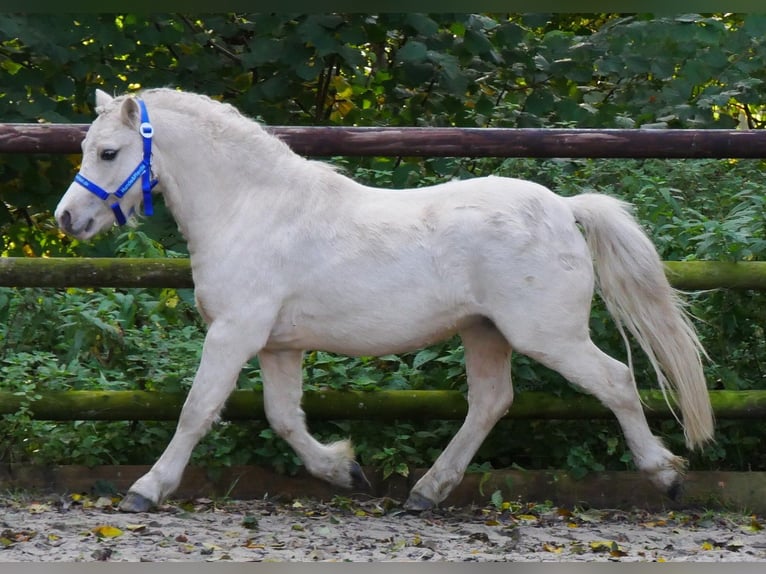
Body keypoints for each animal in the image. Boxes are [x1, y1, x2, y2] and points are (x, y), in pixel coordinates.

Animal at [57, 89, 716, 512]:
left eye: (109, 152)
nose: (67, 218)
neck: (253, 206)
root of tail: (564, 207)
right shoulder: (275, 344)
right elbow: (283, 417)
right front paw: (346, 471)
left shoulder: (234, 333)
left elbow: (197, 411)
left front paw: (146, 490)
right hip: (484, 331)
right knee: (491, 403)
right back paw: (425, 493)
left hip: (546, 335)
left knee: (616, 382)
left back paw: (666, 477)